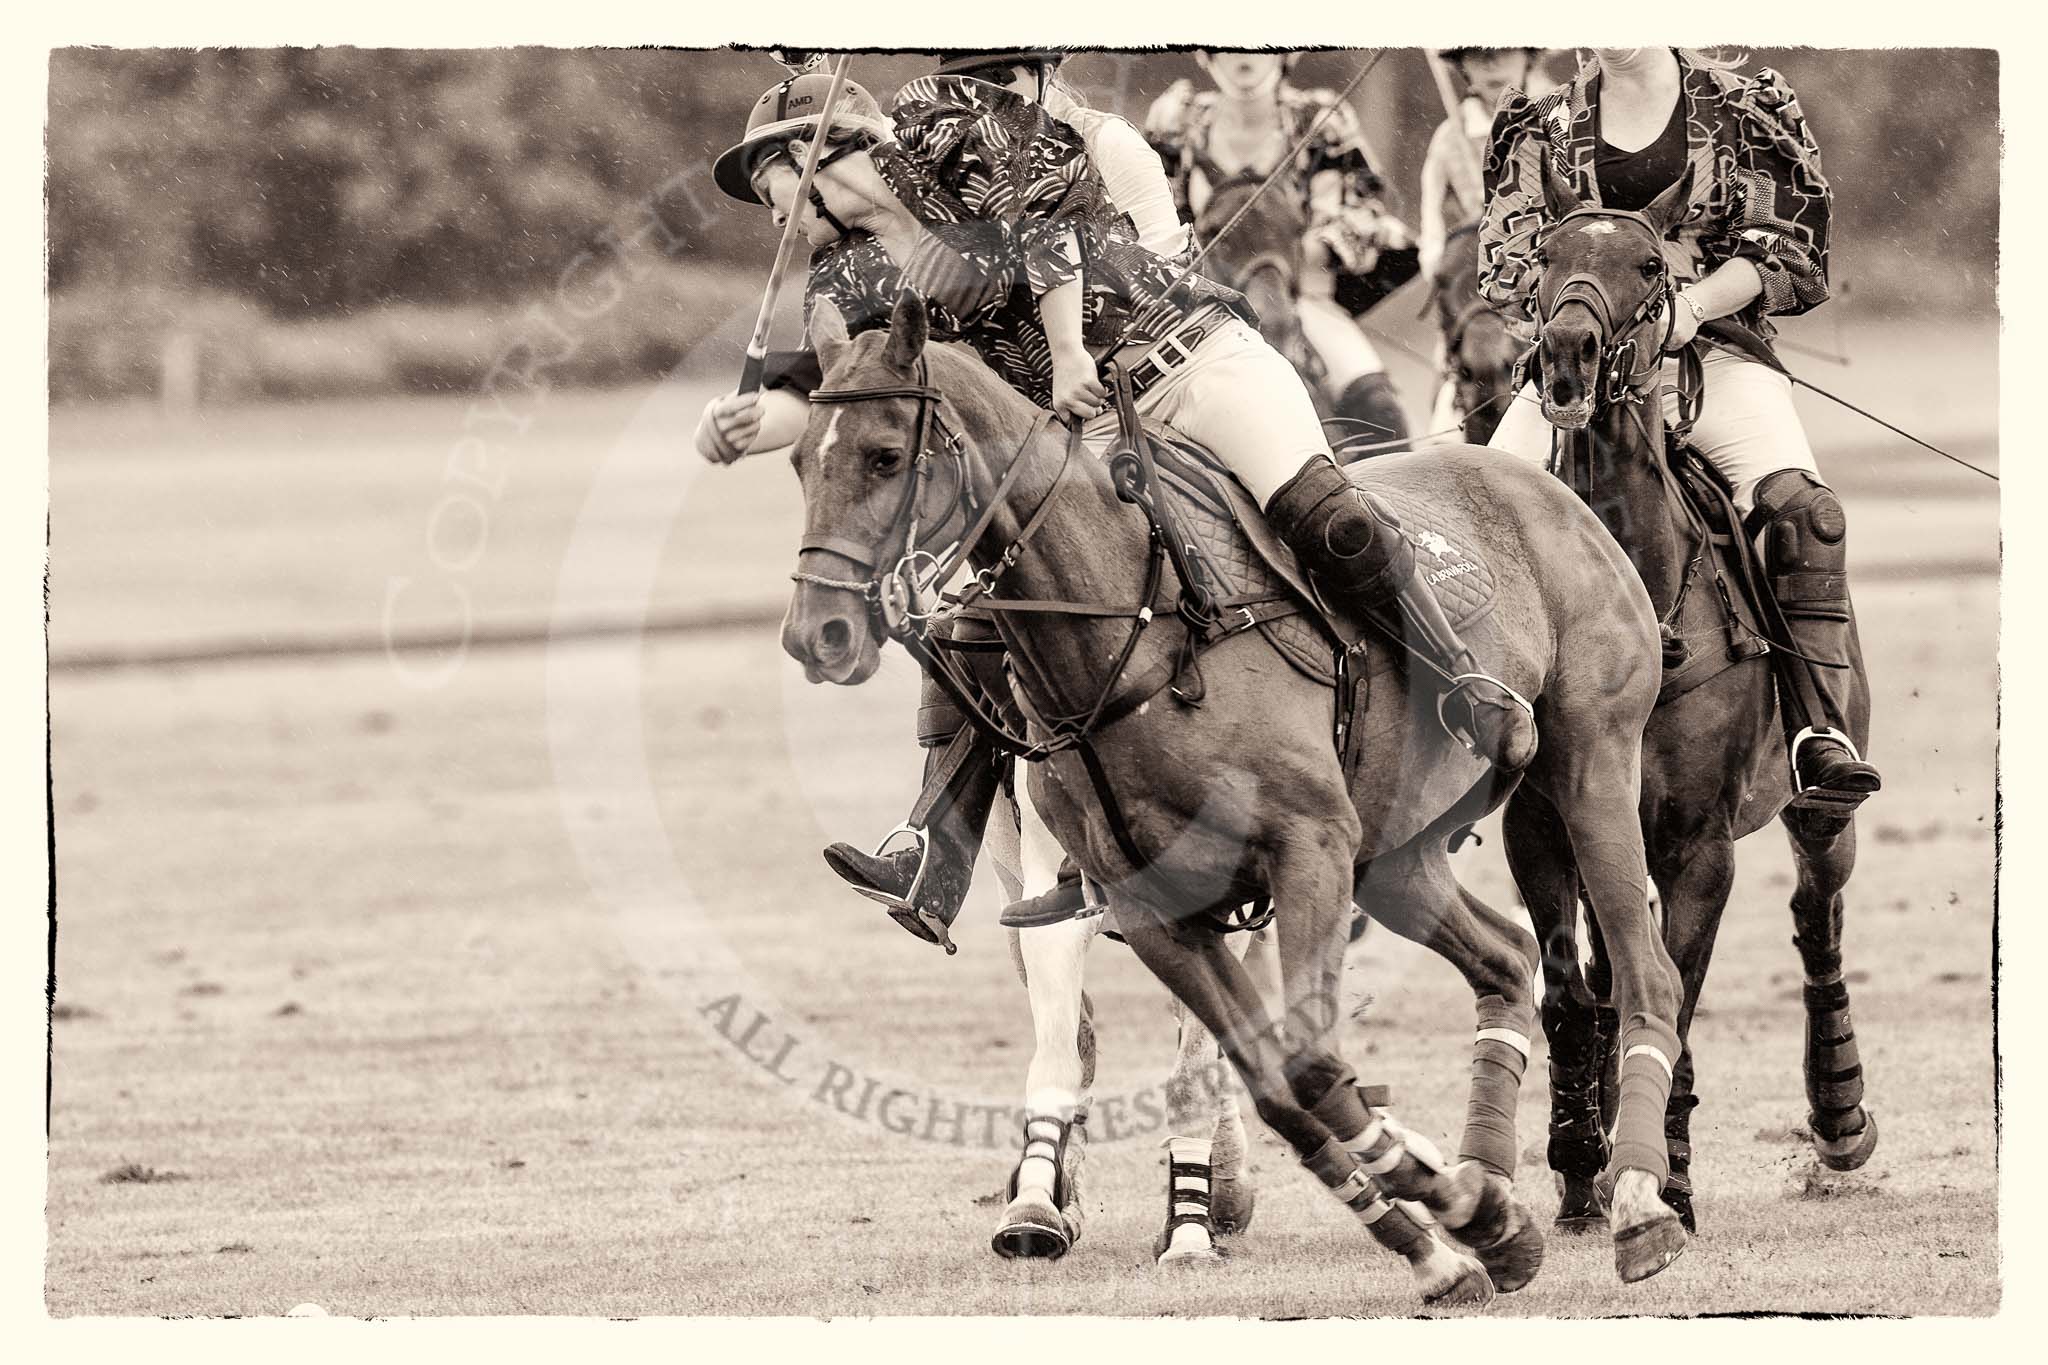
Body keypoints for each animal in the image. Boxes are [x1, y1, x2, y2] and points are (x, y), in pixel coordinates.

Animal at [774, 288, 1687, 1293]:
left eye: (883, 453)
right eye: (798, 458)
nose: (817, 632)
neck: (1128, 631)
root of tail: (1541, 483)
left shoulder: (1306, 847)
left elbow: (1310, 1062)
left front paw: (1439, 1223)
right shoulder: (1151, 906)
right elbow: (1275, 1082)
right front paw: (1460, 1236)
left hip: (1591, 760)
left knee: (1647, 971)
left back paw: (1641, 1208)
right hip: (1395, 856)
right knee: (1507, 956)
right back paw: (1490, 1181)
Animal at [1515, 165, 1875, 1236]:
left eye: (1646, 265)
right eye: (1544, 253)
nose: (1567, 354)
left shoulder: (1697, 842)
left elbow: (1672, 992)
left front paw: (1664, 1176)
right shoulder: (1542, 825)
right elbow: (1569, 992)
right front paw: (1582, 1163)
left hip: (1816, 803)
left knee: (1816, 913)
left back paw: (1840, 1115)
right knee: (1605, 972)